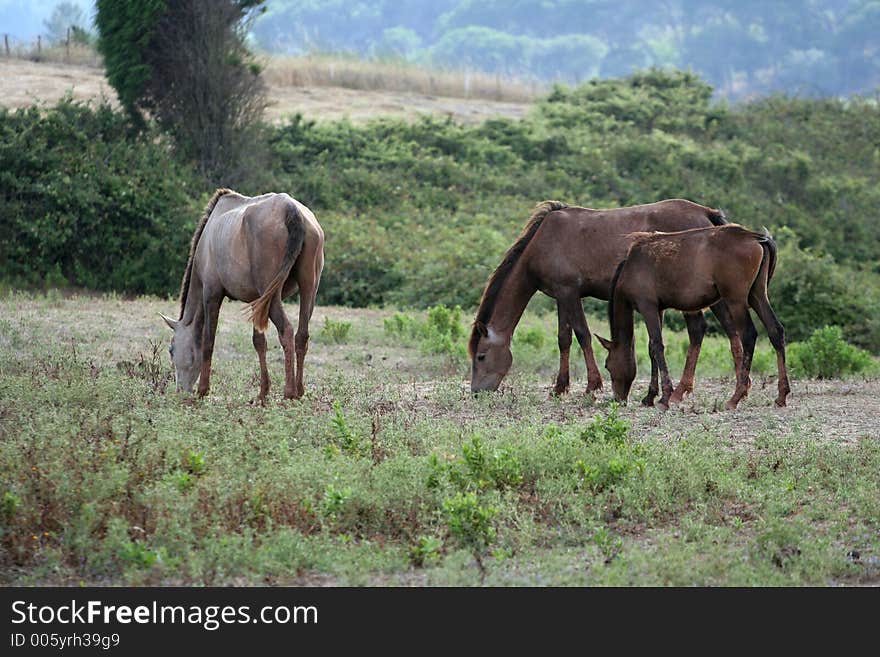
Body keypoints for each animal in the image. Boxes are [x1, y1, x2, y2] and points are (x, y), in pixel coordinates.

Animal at [160, 187, 324, 402]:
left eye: (171, 350)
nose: (180, 390)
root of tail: (290, 209)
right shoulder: (257, 302)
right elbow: (259, 342)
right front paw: (263, 391)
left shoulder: (211, 293)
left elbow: (208, 341)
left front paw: (203, 389)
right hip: (308, 289)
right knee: (301, 336)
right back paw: (299, 389)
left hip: (271, 294)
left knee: (286, 331)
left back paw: (289, 392)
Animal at [470, 196, 732, 400]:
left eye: (481, 356)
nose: (476, 392)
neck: (543, 242)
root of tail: (706, 212)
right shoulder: (561, 296)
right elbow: (564, 339)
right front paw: (560, 387)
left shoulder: (570, 293)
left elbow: (582, 335)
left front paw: (592, 385)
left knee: (700, 331)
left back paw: (683, 388)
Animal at [600, 226, 792, 410]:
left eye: (607, 365)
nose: (618, 399)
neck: (631, 266)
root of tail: (756, 237)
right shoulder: (658, 309)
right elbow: (651, 349)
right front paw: (650, 396)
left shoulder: (648, 307)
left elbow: (657, 346)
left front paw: (665, 397)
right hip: (758, 295)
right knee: (775, 330)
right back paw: (782, 395)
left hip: (736, 300)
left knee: (749, 336)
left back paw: (736, 396)